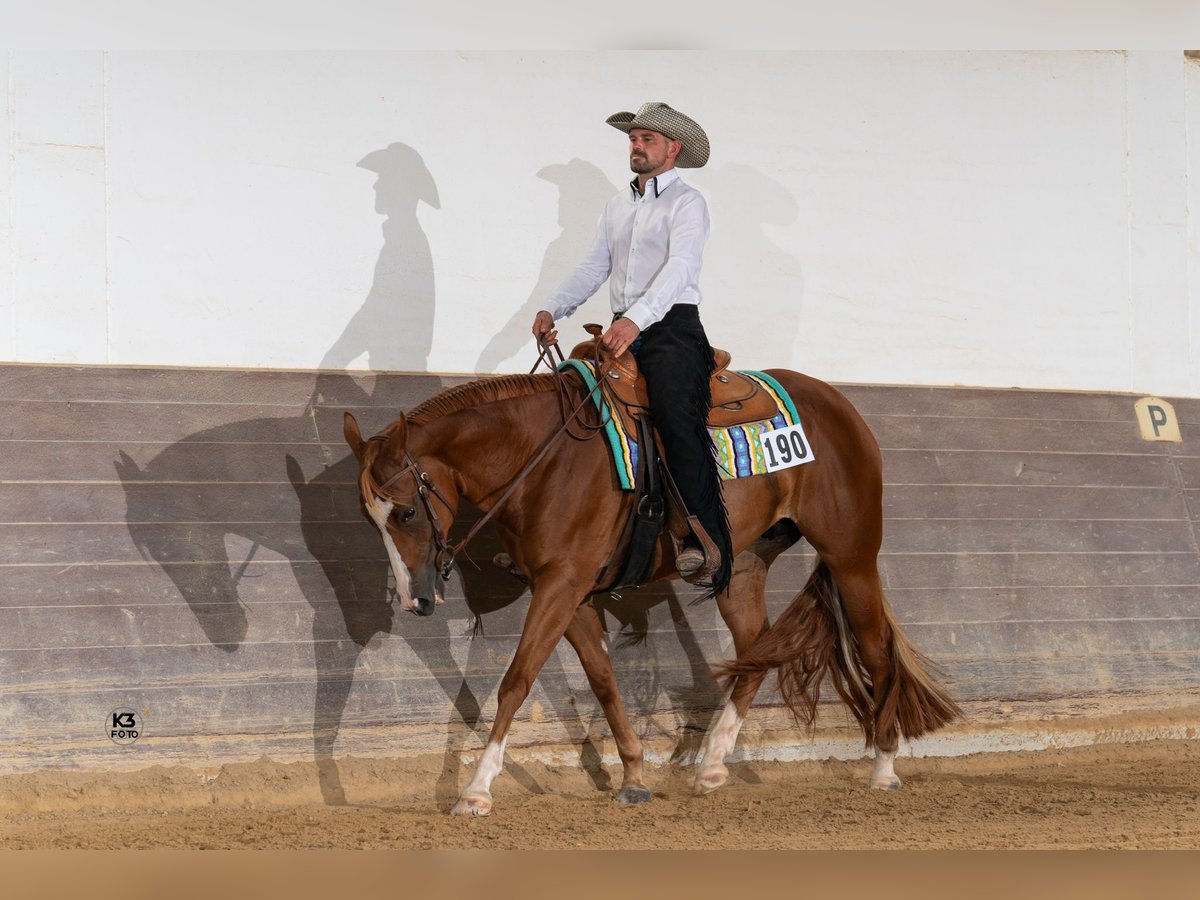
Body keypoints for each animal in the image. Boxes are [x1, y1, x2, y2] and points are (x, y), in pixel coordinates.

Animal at [343, 364, 960, 816]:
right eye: (370, 517)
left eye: (405, 511)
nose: (415, 600)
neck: (543, 459)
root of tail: (841, 405)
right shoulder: (570, 593)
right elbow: (604, 681)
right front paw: (635, 776)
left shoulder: (560, 586)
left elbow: (516, 682)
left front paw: (476, 790)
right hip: (743, 566)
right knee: (755, 651)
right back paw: (712, 764)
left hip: (852, 556)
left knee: (876, 650)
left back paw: (884, 768)